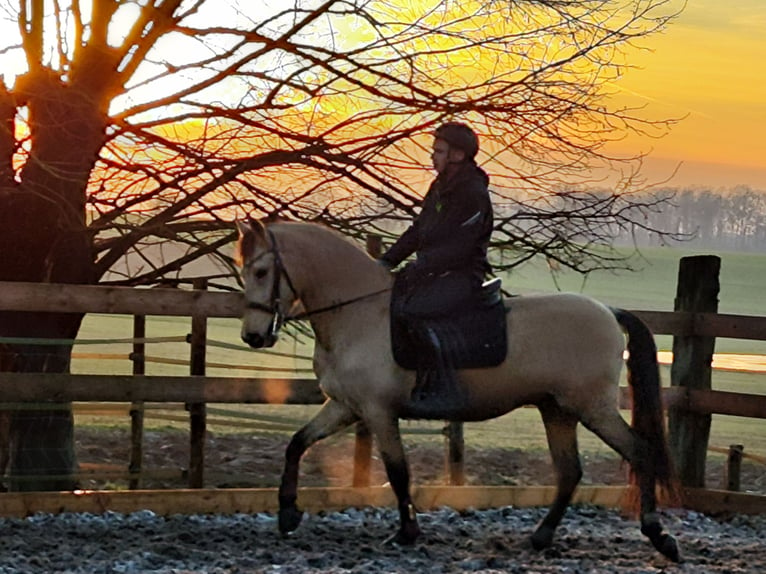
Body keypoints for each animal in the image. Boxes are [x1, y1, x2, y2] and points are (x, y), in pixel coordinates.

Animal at [236, 219, 684, 564]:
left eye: (260, 272)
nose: (254, 336)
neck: (359, 312)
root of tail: (608, 311)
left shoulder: (378, 411)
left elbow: (398, 471)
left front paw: (407, 532)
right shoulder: (347, 407)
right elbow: (297, 443)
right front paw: (288, 513)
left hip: (592, 408)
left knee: (639, 452)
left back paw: (659, 535)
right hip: (557, 410)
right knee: (570, 471)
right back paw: (541, 537)